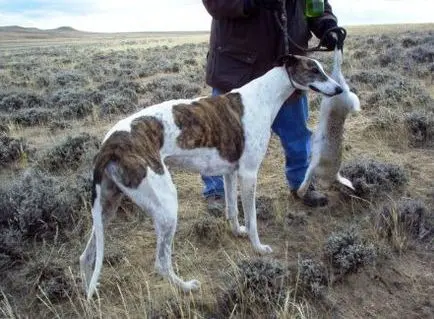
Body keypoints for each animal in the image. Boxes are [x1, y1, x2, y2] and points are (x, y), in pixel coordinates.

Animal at [79, 53, 342, 302]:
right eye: (313, 70)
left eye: (321, 68)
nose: (339, 89)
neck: (264, 95)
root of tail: (108, 145)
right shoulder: (249, 173)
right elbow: (253, 219)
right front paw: (258, 247)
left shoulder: (230, 172)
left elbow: (232, 210)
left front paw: (238, 232)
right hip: (166, 206)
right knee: (161, 262)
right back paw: (186, 287)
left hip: (107, 206)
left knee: (86, 256)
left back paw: (90, 293)